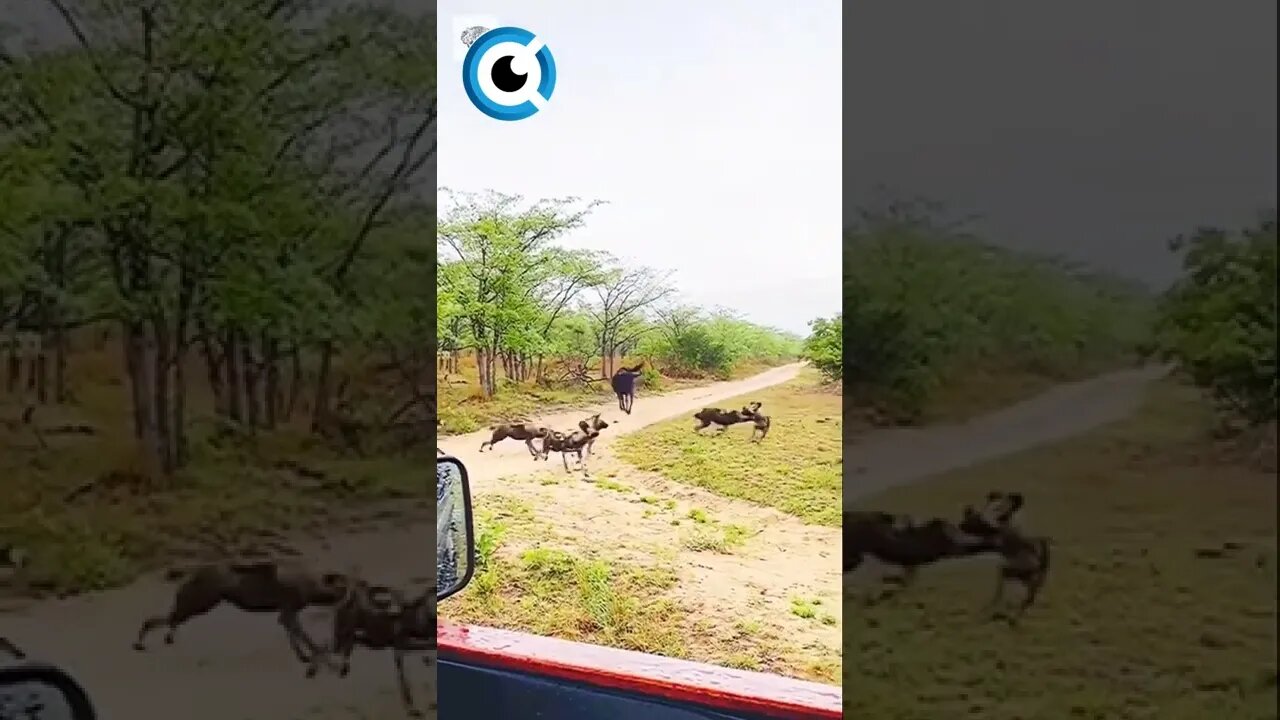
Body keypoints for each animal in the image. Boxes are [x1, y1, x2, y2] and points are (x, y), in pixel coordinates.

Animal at [133, 556, 353, 661]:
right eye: (342, 587)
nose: (349, 596)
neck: (310, 583)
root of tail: (198, 569)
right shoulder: (289, 611)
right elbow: (303, 637)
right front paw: (314, 653)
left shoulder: (287, 614)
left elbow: (296, 636)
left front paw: (305, 656)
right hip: (198, 605)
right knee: (157, 620)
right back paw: (141, 643)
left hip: (195, 606)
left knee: (169, 620)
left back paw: (164, 638)